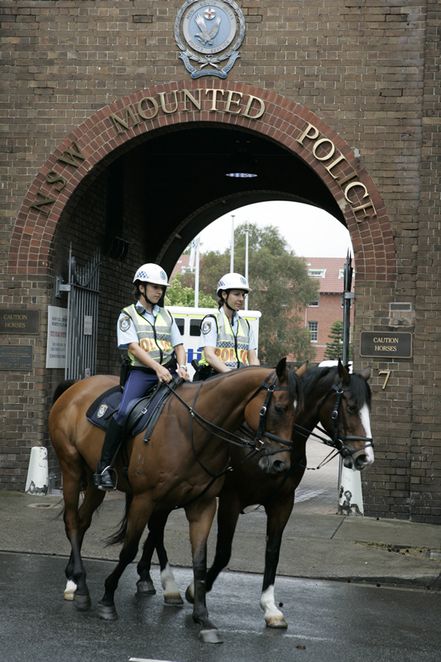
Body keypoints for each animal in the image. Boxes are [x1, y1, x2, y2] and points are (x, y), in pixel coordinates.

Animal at [48, 358, 302, 644]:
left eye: (297, 411)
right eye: (279, 408)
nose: (281, 464)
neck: (193, 430)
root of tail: (77, 386)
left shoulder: (203, 505)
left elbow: (200, 561)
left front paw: (203, 618)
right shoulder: (146, 499)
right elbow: (129, 550)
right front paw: (108, 599)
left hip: (94, 483)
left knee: (82, 521)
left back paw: (75, 582)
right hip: (71, 469)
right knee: (72, 521)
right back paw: (80, 587)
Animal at [136, 360, 372, 632]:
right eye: (351, 407)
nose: (364, 457)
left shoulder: (282, 502)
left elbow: (273, 551)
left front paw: (270, 608)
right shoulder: (231, 499)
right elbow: (223, 552)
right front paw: (196, 589)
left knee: (154, 529)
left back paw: (146, 576)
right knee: (156, 527)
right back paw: (167, 583)